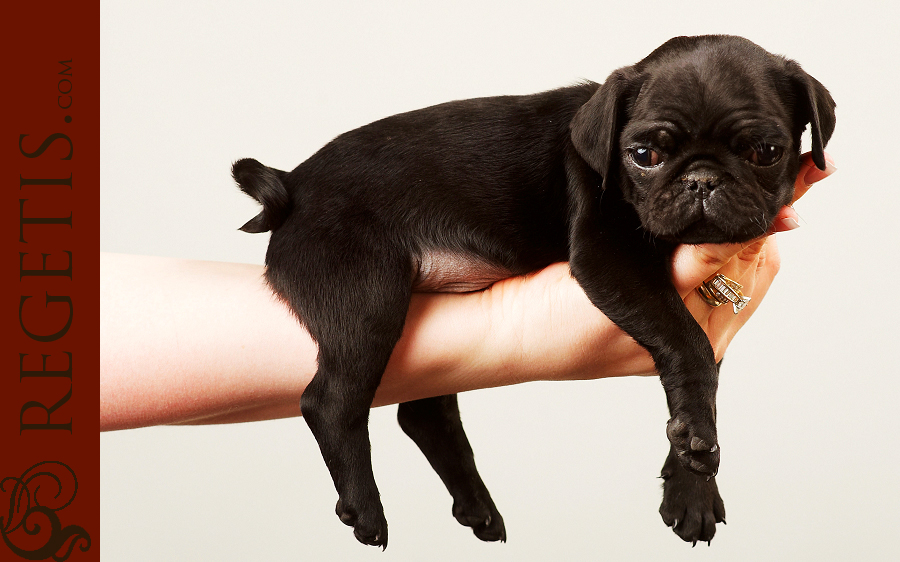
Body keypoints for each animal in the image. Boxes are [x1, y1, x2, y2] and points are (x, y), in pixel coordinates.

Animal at [234, 36, 836, 548]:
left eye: (766, 151)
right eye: (644, 156)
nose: (702, 180)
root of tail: (292, 187)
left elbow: (700, 381)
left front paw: (692, 488)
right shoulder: (609, 257)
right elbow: (689, 351)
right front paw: (698, 449)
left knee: (424, 415)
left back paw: (477, 507)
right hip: (366, 298)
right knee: (331, 400)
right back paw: (365, 508)